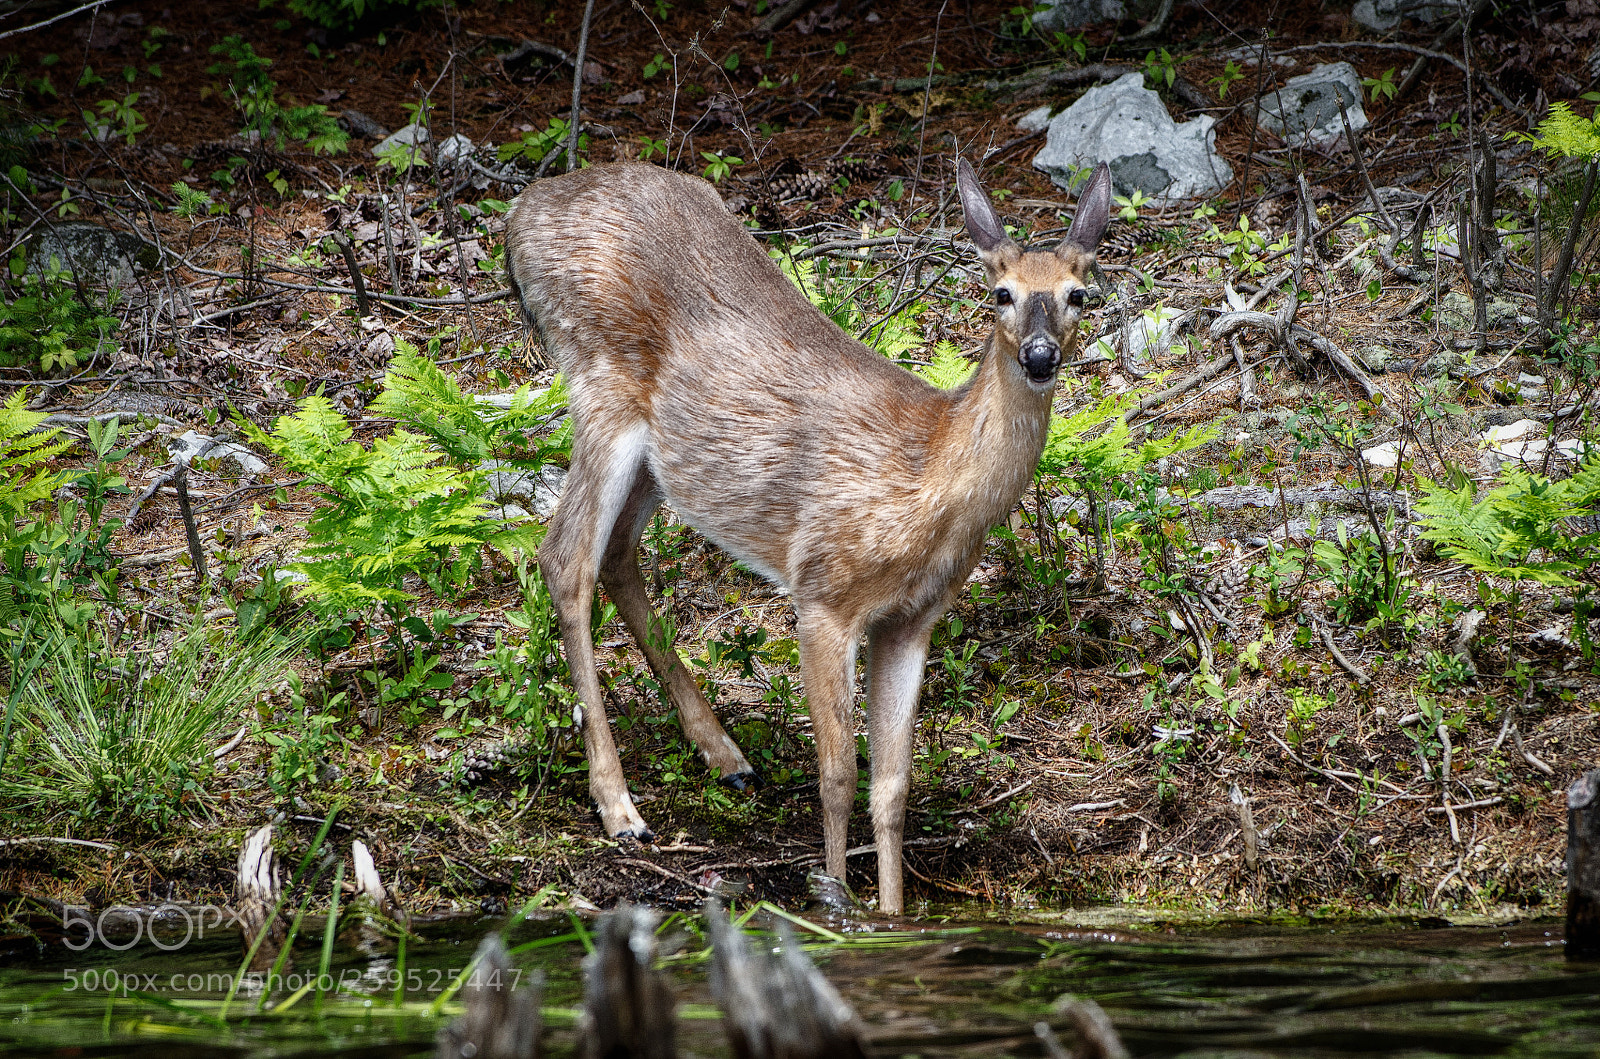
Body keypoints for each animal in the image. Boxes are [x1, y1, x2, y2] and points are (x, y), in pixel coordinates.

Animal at [503, 156, 1112, 915]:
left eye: (1078, 294)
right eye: (1001, 292)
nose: (1038, 355)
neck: (930, 476)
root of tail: (521, 215)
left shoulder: (912, 619)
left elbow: (892, 787)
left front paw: (892, 911)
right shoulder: (824, 592)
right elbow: (839, 774)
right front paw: (835, 899)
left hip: (659, 455)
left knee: (615, 555)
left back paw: (727, 757)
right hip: (600, 385)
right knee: (565, 558)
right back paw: (621, 808)